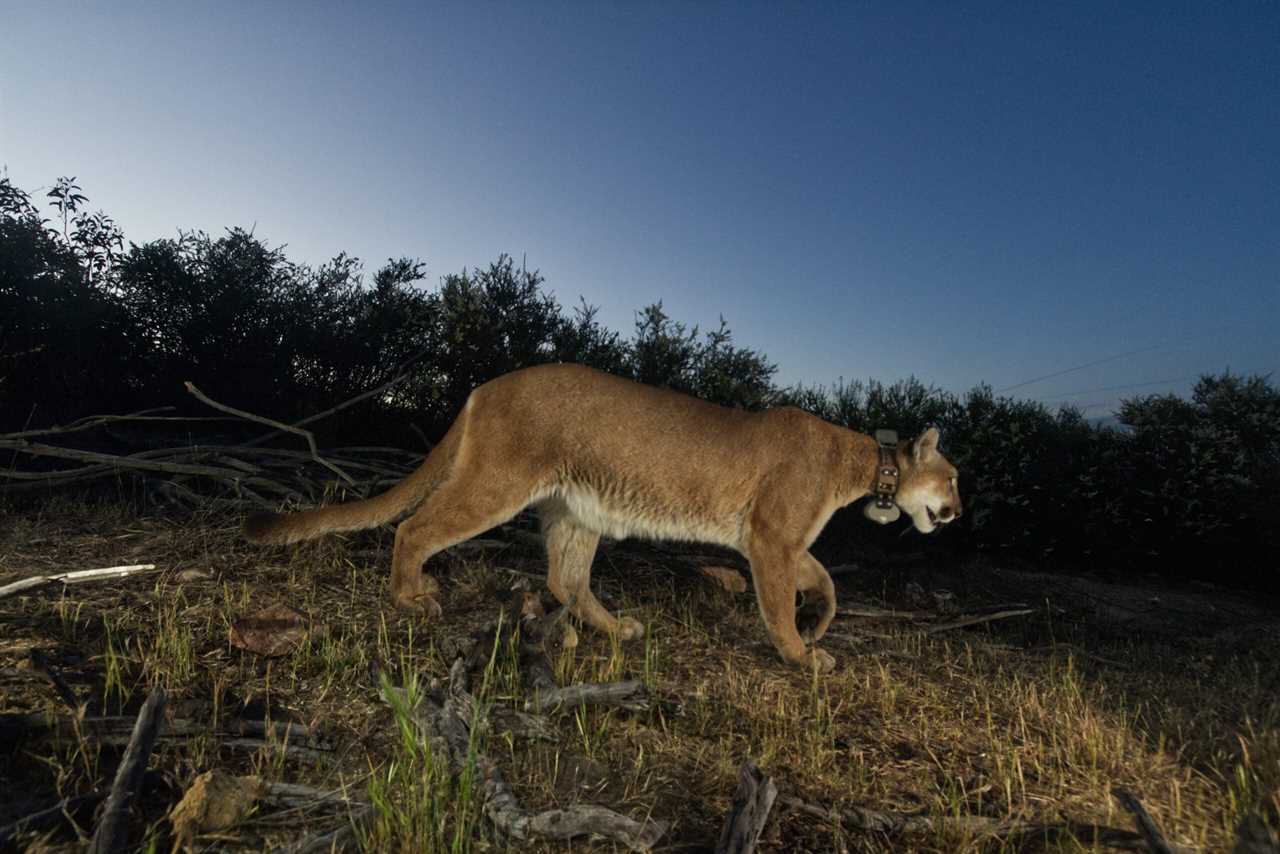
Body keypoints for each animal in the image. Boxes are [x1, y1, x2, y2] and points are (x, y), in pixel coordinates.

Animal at [241, 363, 962, 670]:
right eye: (954, 478)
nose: (956, 510)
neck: (866, 461)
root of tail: (483, 387)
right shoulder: (770, 538)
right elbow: (781, 603)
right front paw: (801, 654)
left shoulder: (778, 542)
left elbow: (825, 579)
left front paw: (820, 624)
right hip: (498, 483)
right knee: (413, 528)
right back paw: (411, 596)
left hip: (578, 508)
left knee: (565, 579)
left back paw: (617, 629)